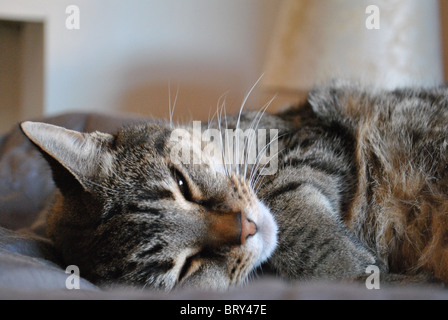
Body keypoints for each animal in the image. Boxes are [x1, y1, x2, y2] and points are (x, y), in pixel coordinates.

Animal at [19, 81, 448, 292]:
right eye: (186, 267)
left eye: (182, 183)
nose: (248, 227)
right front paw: (366, 271)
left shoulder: (308, 140)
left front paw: (365, 269)